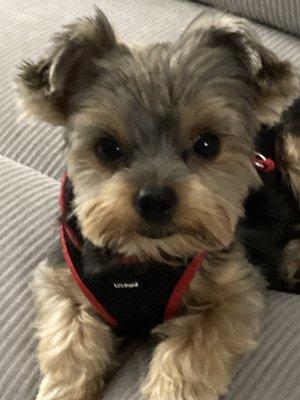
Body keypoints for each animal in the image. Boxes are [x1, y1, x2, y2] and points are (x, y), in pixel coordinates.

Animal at [15, 8, 300, 400]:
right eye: (107, 148)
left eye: (207, 144)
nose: (155, 199)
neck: (143, 261)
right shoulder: (62, 282)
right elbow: (71, 345)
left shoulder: (235, 290)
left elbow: (190, 350)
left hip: (292, 142)